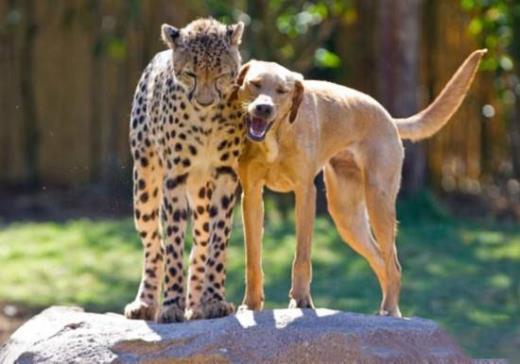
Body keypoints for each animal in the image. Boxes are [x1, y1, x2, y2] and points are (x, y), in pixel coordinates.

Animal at [126, 18, 248, 322]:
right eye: (190, 73)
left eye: (221, 74)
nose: (204, 101)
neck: (204, 119)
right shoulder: (175, 179)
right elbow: (172, 247)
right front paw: (170, 305)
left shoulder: (226, 176)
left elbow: (217, 243)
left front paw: (213, 300)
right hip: (144, 183)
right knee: (154, 245)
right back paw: (146, 303)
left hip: (202, 191)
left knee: (200, 245)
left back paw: (195, 305)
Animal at [234, 49, 486, 318]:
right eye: (255, 84)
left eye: (282, 91)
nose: (263, 108)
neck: (276, 137)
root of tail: (388, 117)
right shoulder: (251, 196)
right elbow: (252, 259)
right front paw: (251, 304)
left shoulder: (305, 193)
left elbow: (301, 256)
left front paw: (301, 300)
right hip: (348, 217)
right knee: (380, 261)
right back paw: (391, 311)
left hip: (378, 203)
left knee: (393, 264)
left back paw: (388, 310)